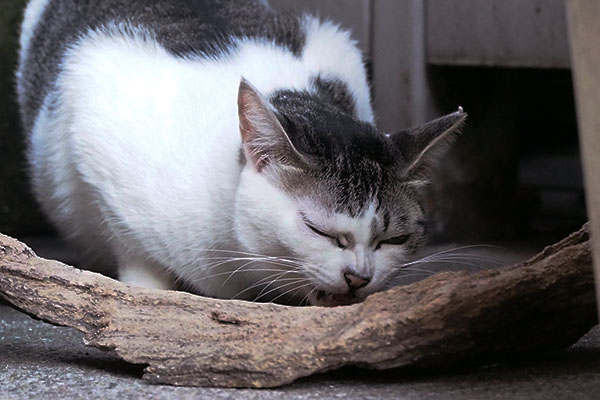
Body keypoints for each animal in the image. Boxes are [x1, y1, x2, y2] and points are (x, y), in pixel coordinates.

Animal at [12, 0, 464, 306]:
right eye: (318, 229)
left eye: (394, 239)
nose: (359, 277)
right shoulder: (100, 151)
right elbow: (136, 252)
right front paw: (147, 295)